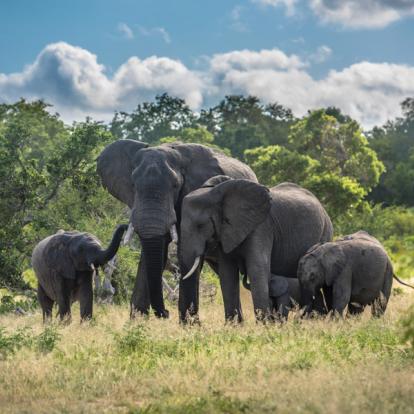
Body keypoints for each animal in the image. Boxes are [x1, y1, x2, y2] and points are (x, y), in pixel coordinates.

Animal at [96, 141, 256, 322]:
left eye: (175, 186)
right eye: (134, 186)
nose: (166, 313)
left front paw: (189, 324)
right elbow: (153, 254)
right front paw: (137, 322)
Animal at [179, 176, 334, 322]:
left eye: (200, 225)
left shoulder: (261, 227)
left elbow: (257, 268)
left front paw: (265, 325)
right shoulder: (225, 231)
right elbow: (227, 273)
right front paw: (234, 326)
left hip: (325, 231)